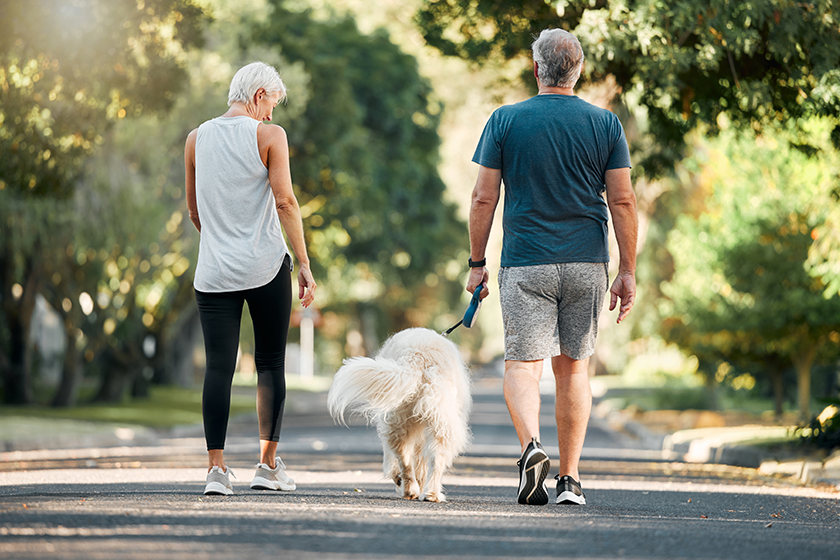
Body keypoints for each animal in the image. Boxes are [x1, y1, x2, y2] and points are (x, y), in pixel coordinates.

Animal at [328, 326, 472, 500]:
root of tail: (418, 358)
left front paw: (403, 480)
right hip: (429, 422)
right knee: (425, 459)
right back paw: (423, 492)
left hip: (408, 421)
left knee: (409, 459)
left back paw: (417, 491)